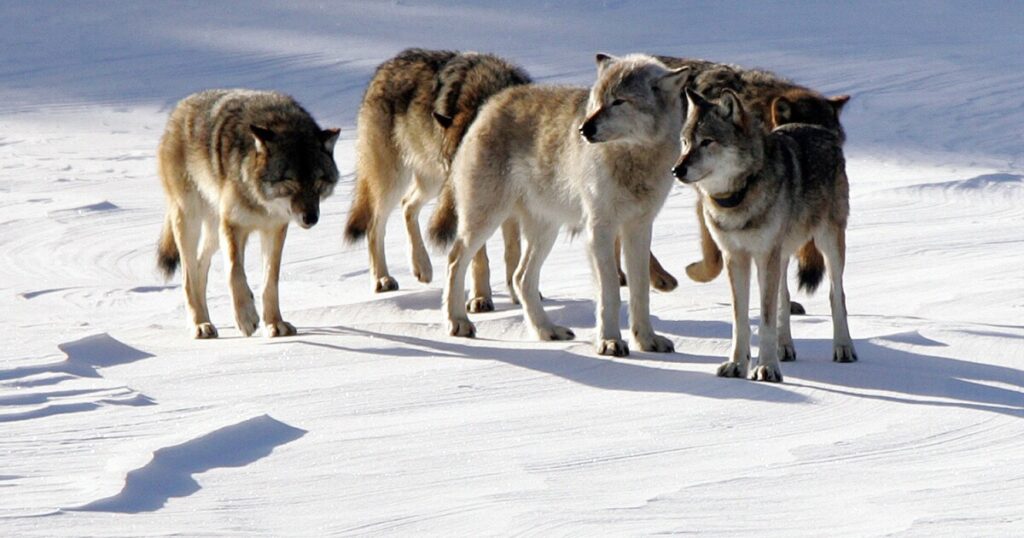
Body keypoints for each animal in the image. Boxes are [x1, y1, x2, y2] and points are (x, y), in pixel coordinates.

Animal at [156, 89, 340, 339]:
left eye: (317, 182)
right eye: (290, 181)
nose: (311, 218)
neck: (261, 201)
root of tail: (180, 108)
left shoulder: (275, 229)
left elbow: (270, 281)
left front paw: (274, 324)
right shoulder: (233, 225)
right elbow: (234, 272)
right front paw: (246, 318)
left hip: (213, 231)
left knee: (200, 266)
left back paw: (207, 320)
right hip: (190, 221)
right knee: (187, 277)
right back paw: (199, 324)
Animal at [344, 48, 531, 311]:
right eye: (452, 163)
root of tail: (382, 69)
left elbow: (513, 251)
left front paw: (518, 295)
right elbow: (479, 258)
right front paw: (481, 298)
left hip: (430, 182)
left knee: (407, 205)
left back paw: (422, 267)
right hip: (396, 181)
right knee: (374, 224)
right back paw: (382, 279)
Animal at [443, 54, 688, 356]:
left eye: (619, 101)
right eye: (596, 101)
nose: (584, 129)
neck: (633, 158)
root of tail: (493, 102)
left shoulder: (639, 228)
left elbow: (640, 291)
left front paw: (647, 340)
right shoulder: (600, 229)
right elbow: (610, 292)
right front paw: (609, 342)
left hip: (546, 231)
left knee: (521, 278)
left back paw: (547, 331)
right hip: (486, 220)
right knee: (455, 261)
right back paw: (458, 322)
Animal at [657, 57, 849, 298]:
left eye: (836, 141)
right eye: (686, 142)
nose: (677, 170)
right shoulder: (710, 211)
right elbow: (714, 264)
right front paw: (695, 272)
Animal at [673, 88, 857, 382]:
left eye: (707, 142)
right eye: (685, 142)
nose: (676, 170)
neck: (738, 196)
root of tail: (818, 128)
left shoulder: (764, 255)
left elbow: (766, 319)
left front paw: (767, 367)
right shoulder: (735, 257)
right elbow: (741, 320)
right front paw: (737, 364)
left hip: (828, 243)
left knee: (836, 295)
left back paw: (843, 348)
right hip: (781, 255)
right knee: (784, 297)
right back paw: (785, 348)